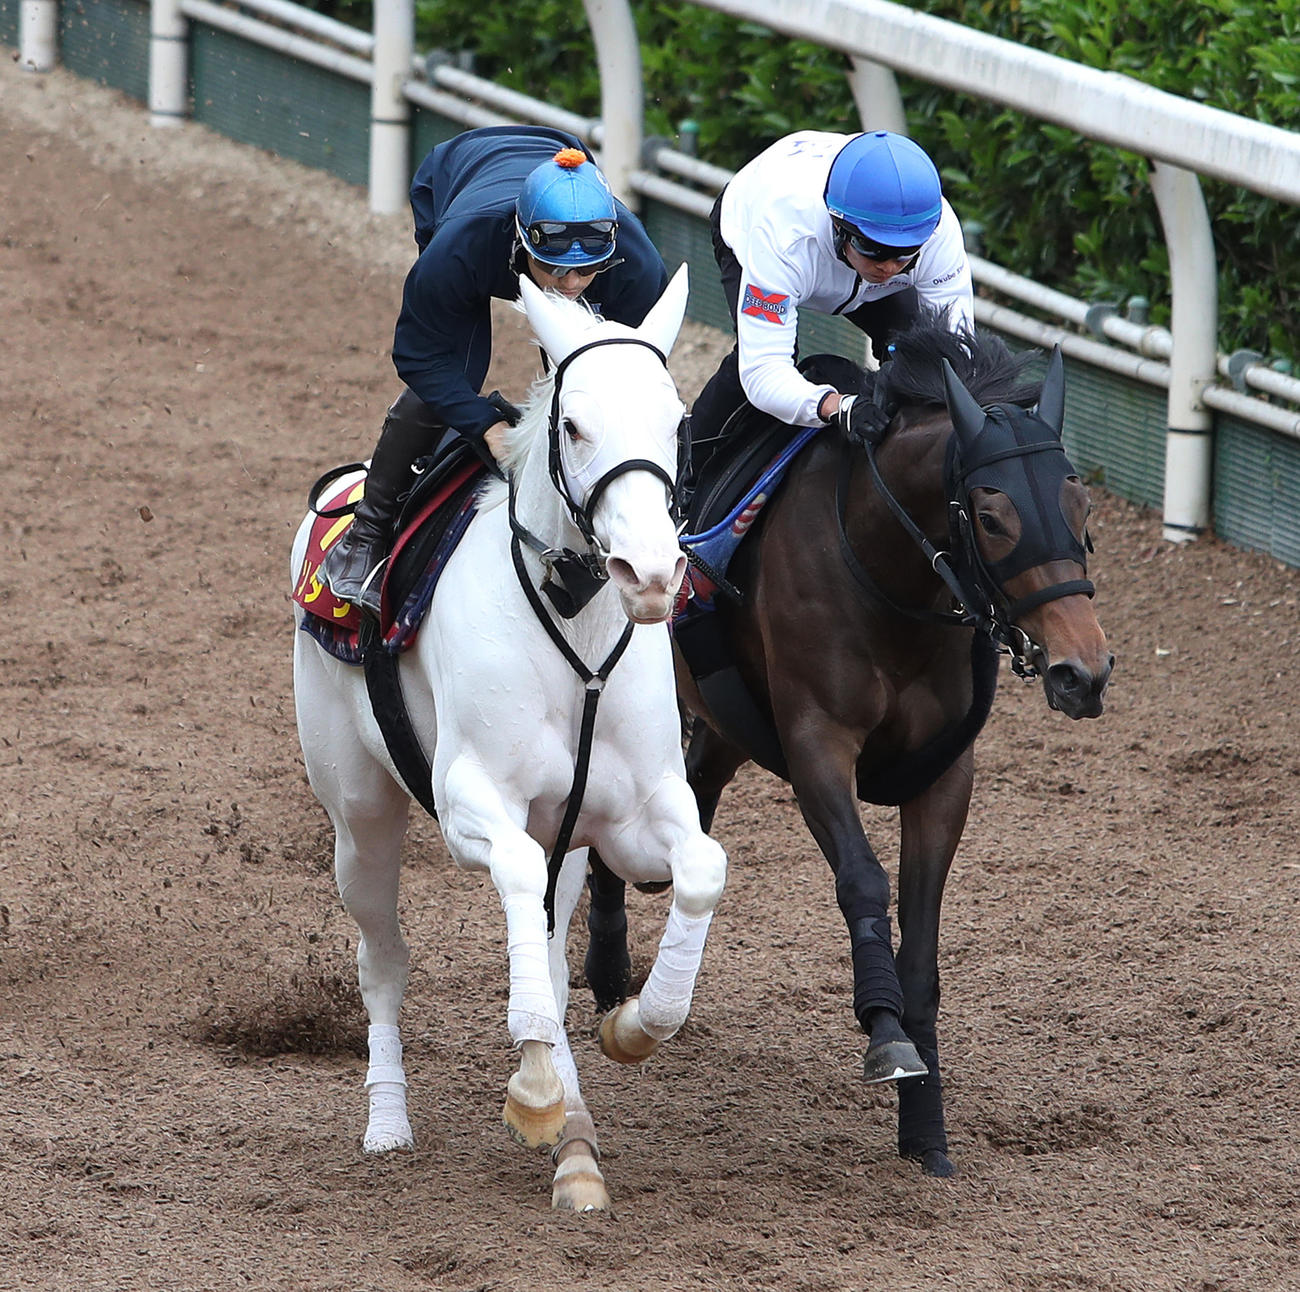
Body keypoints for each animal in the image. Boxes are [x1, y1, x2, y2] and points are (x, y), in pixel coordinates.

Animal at [291, 265, 728, 1211]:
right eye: (574, 425)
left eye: (676, 423)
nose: (651, 573)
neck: (574, 624)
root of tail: (336, 498)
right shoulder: (470, 800)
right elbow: (516, 880)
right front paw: (532, 1087)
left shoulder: (631, 818)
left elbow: (700, 872)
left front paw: (635, 1028)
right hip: (360, 820)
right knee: (383, 960)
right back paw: (390, 1123)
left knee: (552, 952)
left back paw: (577, 1146)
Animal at [590, 316, 1113, 1179]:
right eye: (993, 515)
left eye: (1081, 502)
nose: (1084, 671)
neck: (888, 580)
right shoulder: (816, 746)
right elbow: (864, 882)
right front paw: (886, 1034)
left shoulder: (946, 773)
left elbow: (922, 946)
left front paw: (926, 1124)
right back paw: (604, 972)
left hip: (726, 725)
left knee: (691, 795)